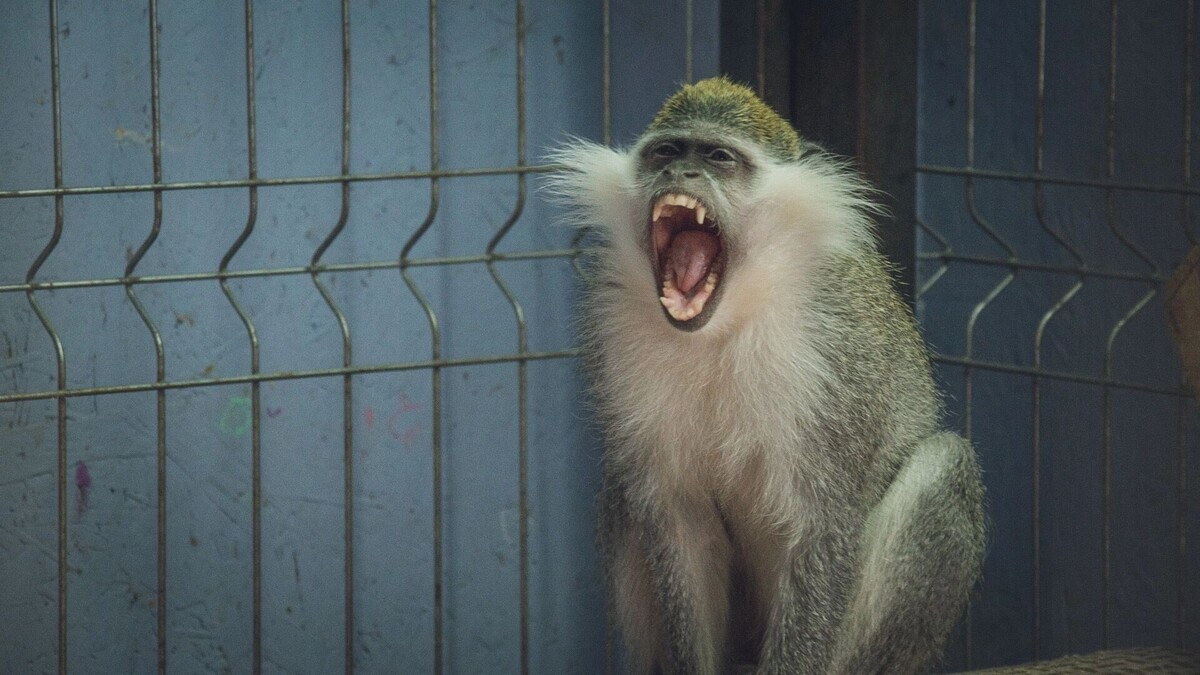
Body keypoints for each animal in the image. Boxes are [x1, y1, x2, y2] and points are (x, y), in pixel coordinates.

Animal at [548, 77, 985, 675]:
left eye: (718, 157)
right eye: (666, 152)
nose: (679, 175)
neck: (724, 325)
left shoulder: (835, 359)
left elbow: (822, 528)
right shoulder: (613, 338)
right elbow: (678, 520)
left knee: (944, 464)